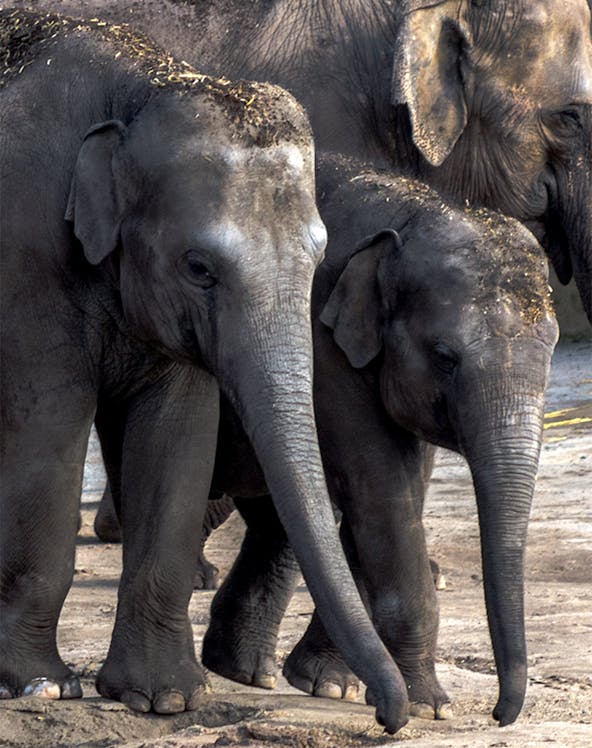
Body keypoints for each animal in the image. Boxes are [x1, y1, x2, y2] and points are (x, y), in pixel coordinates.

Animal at [0, 10, 409, 733]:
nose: (391, 719)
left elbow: (175, 438)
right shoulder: (27, 254)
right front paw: (42, 687)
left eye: (319, 257)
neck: (139, 88)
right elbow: (47, 427)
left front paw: (162, 698)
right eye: (199, 267)